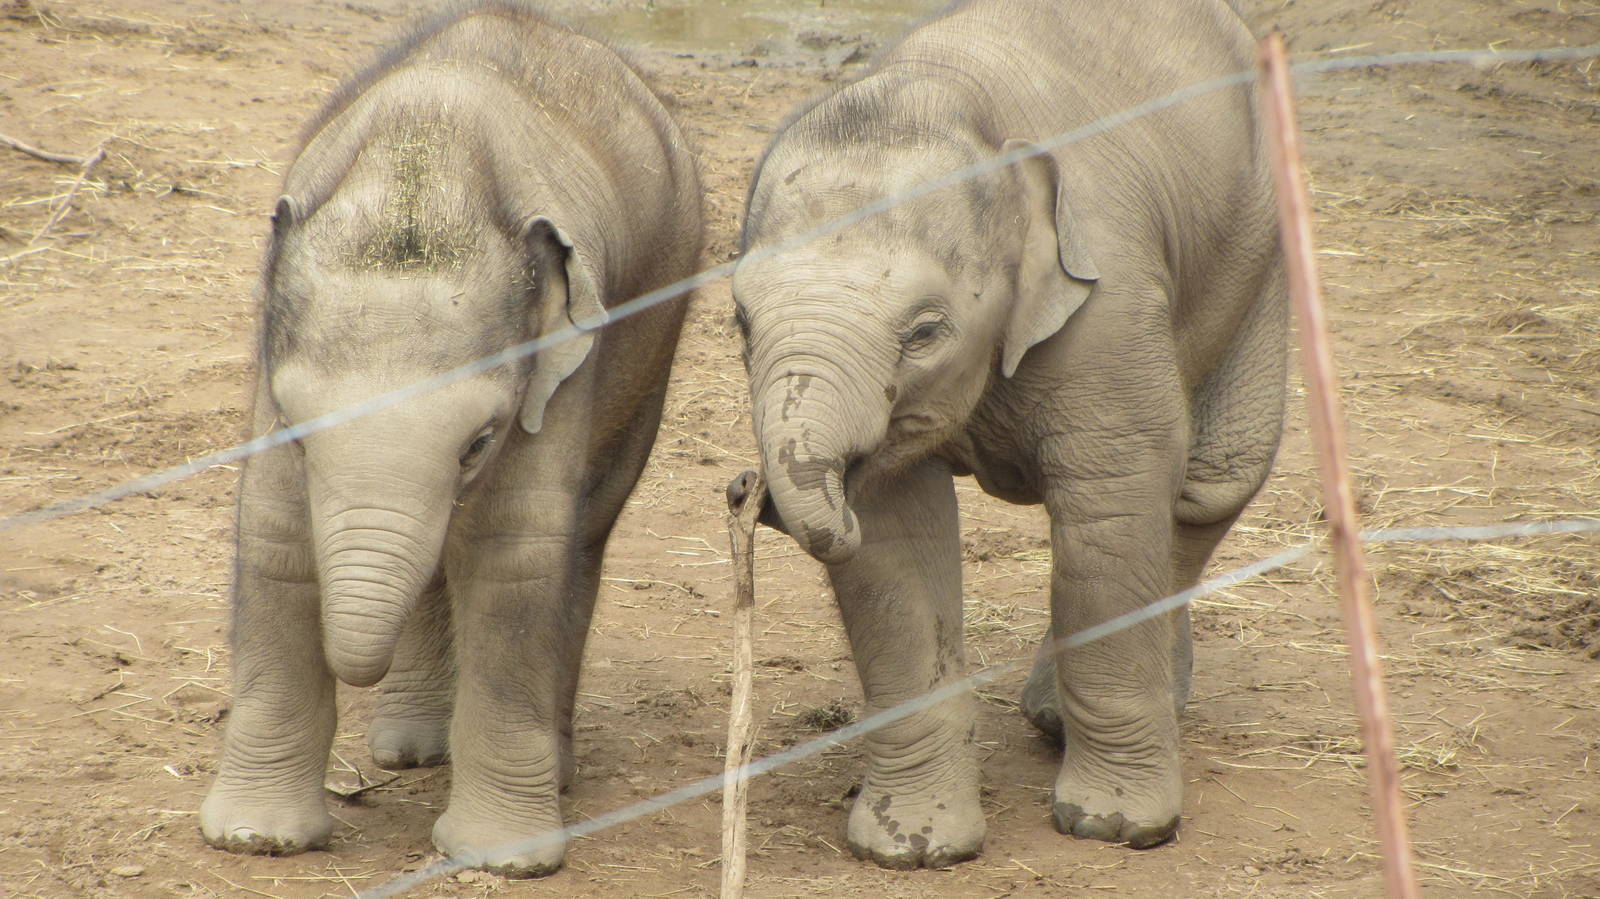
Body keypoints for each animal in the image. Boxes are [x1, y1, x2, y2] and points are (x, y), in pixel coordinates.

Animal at [198, 3, 701, 877]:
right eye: (296, 432)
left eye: (479, 442)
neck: (425, 167)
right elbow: (275, 534)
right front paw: (256, 838)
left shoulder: (558, 361)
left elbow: (513, 551)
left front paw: (504, 858)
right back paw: (409, 750)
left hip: (657, 336)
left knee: (581, 535)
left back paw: (549, 769)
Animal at [727, 0, 1285, 869]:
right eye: (740, 321)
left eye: (924, 330)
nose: (746, 491)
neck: (961, 109)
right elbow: (895, 542)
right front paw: (913, 847)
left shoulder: (1110, 306)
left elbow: (1113, 506)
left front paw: (1115, 826)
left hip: (1259, 249)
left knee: (1209, 487)